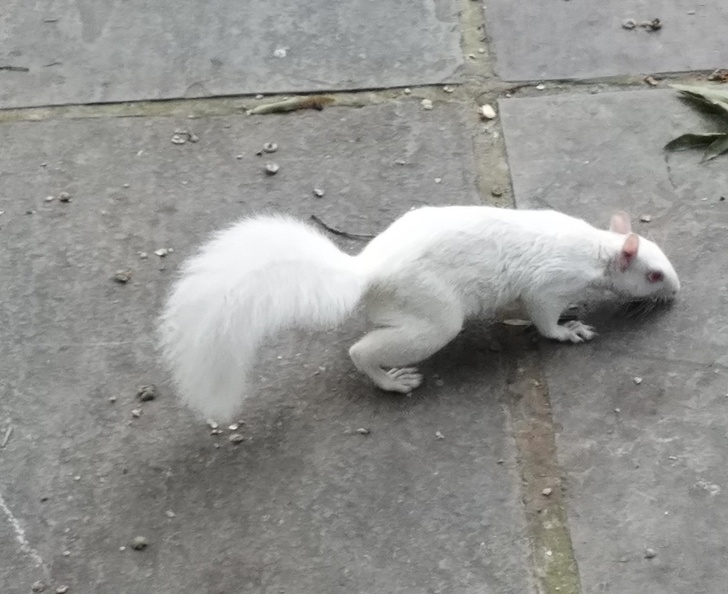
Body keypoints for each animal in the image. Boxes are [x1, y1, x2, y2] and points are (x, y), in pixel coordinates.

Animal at [156, 206, 680, 418]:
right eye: (654, 274)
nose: (676, 291)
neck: (595, 249)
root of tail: (365, 272)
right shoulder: (547, 284)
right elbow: (545, 318)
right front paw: (570, 331)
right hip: (434, 317)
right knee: (363, 350)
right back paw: (391, 380)